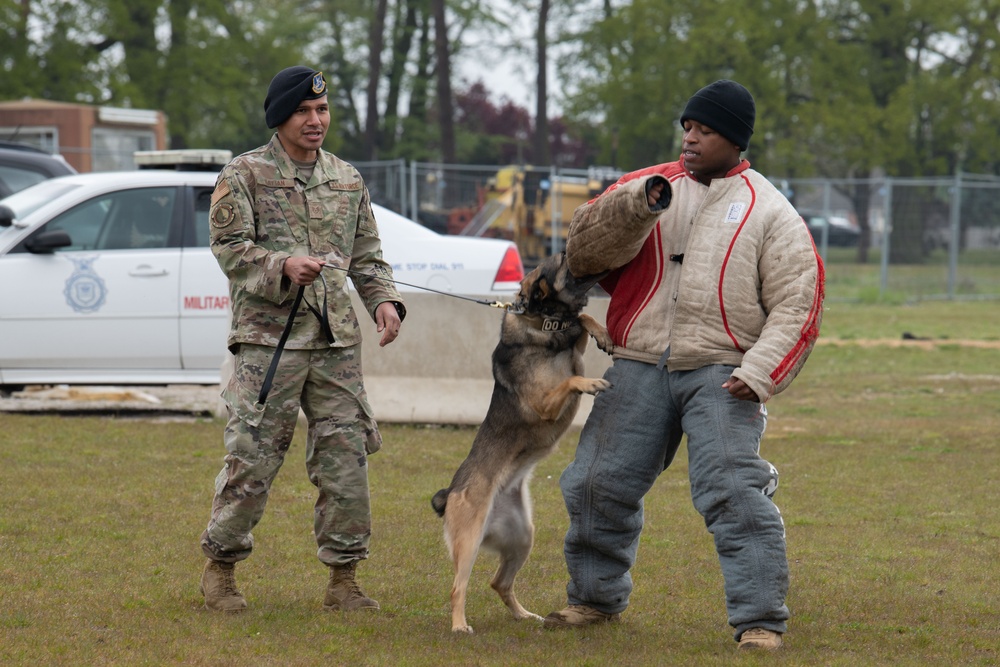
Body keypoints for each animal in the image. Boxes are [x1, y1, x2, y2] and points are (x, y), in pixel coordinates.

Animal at [432, 253, 612, 636]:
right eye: (563, 262)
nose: (572, 251)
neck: (544, 323)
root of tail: (450, 492)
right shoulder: (545, 403)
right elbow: (571, 379)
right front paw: (590, 384)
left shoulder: (572, 347)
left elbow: (582, 322)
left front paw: (601, 331)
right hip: (470, 541)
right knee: (458, 587)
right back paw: (459, 625)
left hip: (523, 536)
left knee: (499, 582)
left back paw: (525, 616)